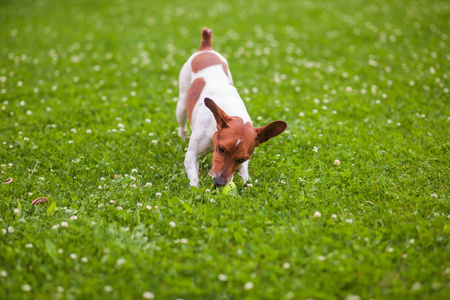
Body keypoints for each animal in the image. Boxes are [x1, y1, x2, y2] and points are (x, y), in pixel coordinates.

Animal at [176, 28, 284, 188]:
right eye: (221, 149)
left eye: (242, 159)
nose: (219, 182)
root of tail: (206, 48)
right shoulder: (191, 155)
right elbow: (194, 179)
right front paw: (196, 189)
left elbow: (245, 174)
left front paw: (246, 183)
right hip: (182, 104)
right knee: (182, 125)